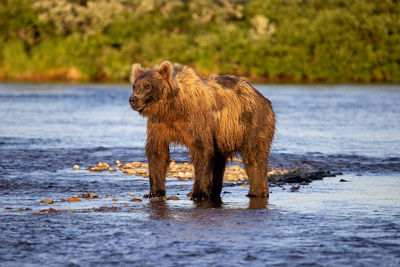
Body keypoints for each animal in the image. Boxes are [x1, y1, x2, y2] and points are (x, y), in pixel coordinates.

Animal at [130, 61, 276, 201]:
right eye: (134, 86)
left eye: (147, 86)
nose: (133, 99)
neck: (172, 108)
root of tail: (260, 95)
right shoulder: (159, 125)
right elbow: (157, 152)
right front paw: (153, 192)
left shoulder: (197, 120)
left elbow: (202, 149)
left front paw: (198, 194)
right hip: (222, 136)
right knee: (219, 162)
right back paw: (214, 192)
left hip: (251, 122)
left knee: (254, 155)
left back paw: (256, 192)